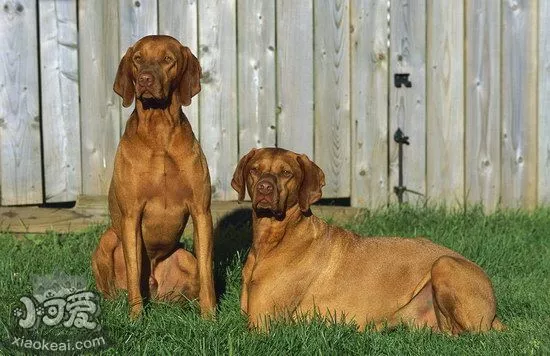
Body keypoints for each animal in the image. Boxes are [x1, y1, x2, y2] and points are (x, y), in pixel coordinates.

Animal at [92, 35, 216, 318]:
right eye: (138, 58)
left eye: (168, 59)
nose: (145, 79)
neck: (159, 131)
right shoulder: (131, 215)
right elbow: (133, 268)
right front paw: (136, 318)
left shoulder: (201, 211)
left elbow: (207, 270)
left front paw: (210, 316)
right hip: (108, 240)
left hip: (185, 258)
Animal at [231, 147, 506, 334]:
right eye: (255, 169)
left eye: (286, 173)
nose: (264, 188)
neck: (271, 241)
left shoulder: (262, 324)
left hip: (444, 264)